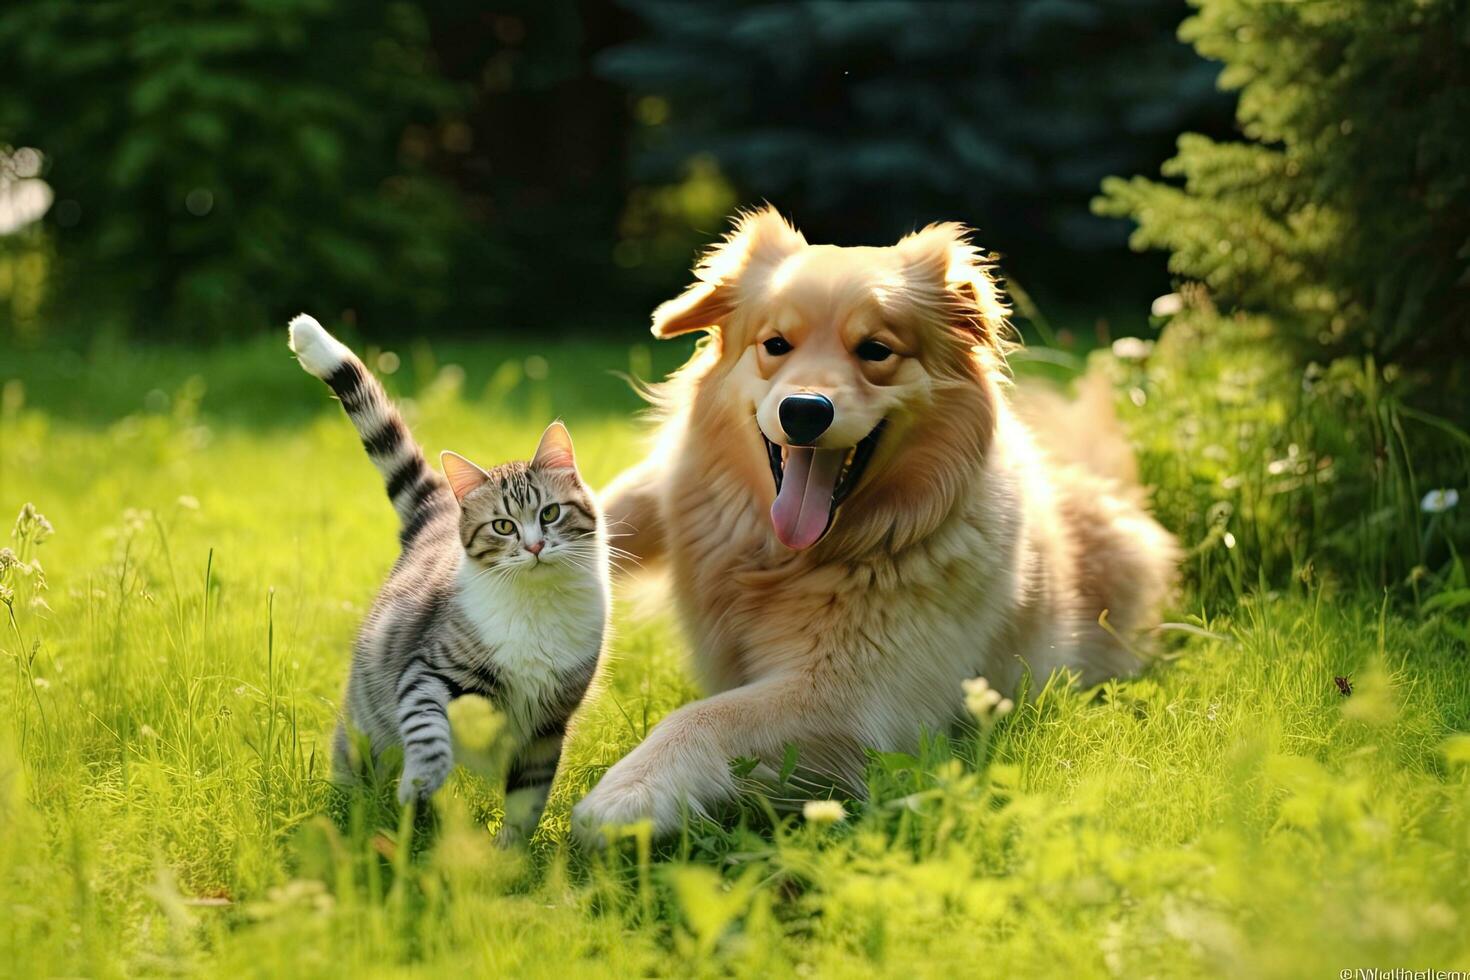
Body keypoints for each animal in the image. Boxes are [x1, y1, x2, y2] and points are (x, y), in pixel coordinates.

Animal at [286, 315, 608, 822]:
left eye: (551, 514)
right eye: (503, 526)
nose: (535, 546)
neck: (535, 605)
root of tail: (436, 508)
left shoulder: (548, 726)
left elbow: (526, 801)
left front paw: (508, 846)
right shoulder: (430, 669)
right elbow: (427, 727)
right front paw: (421, 782)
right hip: (364, 723)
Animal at [567, 208, 1176, 846]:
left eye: (876, 350)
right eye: (775, 345)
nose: (803, 411)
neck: (785, 556)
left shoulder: (858, 700)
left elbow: (706, 714)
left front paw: (629, 792)